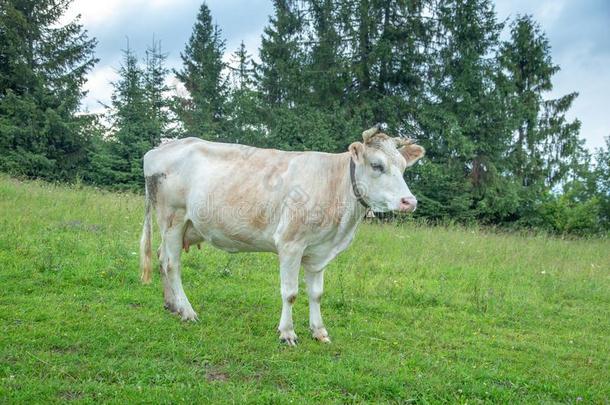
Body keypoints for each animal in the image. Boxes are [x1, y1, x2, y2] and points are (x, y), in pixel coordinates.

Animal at [139, 125, 422, 344]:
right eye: (377, 165)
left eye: (403, 167)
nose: (410, 202)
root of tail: (159, 149)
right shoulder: (290, 243)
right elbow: (290, 292)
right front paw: (287, 333)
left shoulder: (319, 251)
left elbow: (316, 293)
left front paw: (319, 331)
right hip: (172, 218)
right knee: (172, 264)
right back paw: (187, 311)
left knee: (161, 257)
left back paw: (172, 305)